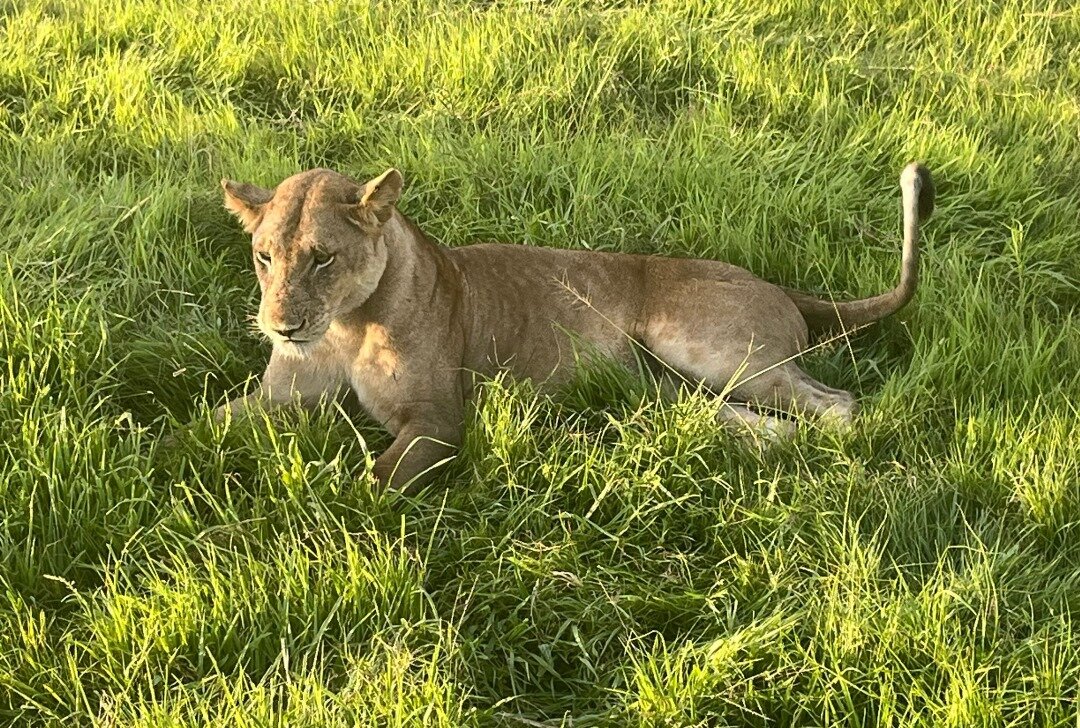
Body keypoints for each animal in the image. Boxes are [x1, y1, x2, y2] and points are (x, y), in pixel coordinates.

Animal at [215, 162, 934, 492]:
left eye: (323, 258)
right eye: (265, 257)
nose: (280, 326)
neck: (343, 327)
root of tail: (779, 286)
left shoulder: (439, 420)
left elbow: (371, 483)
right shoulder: (276, 399)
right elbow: (205, 425)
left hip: (703, 346)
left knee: (837, 404)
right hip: (673, 386)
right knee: (750, 420)